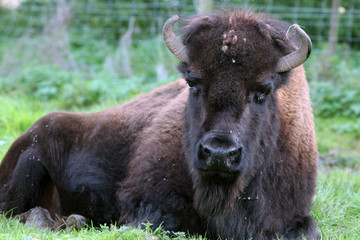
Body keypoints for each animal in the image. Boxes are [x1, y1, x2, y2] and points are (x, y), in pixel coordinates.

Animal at [1, 9, 320, 240]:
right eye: (193, 83)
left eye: (264, 90)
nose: (218, 153)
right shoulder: (147, 199)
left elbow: (309, 230)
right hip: (27, 165)